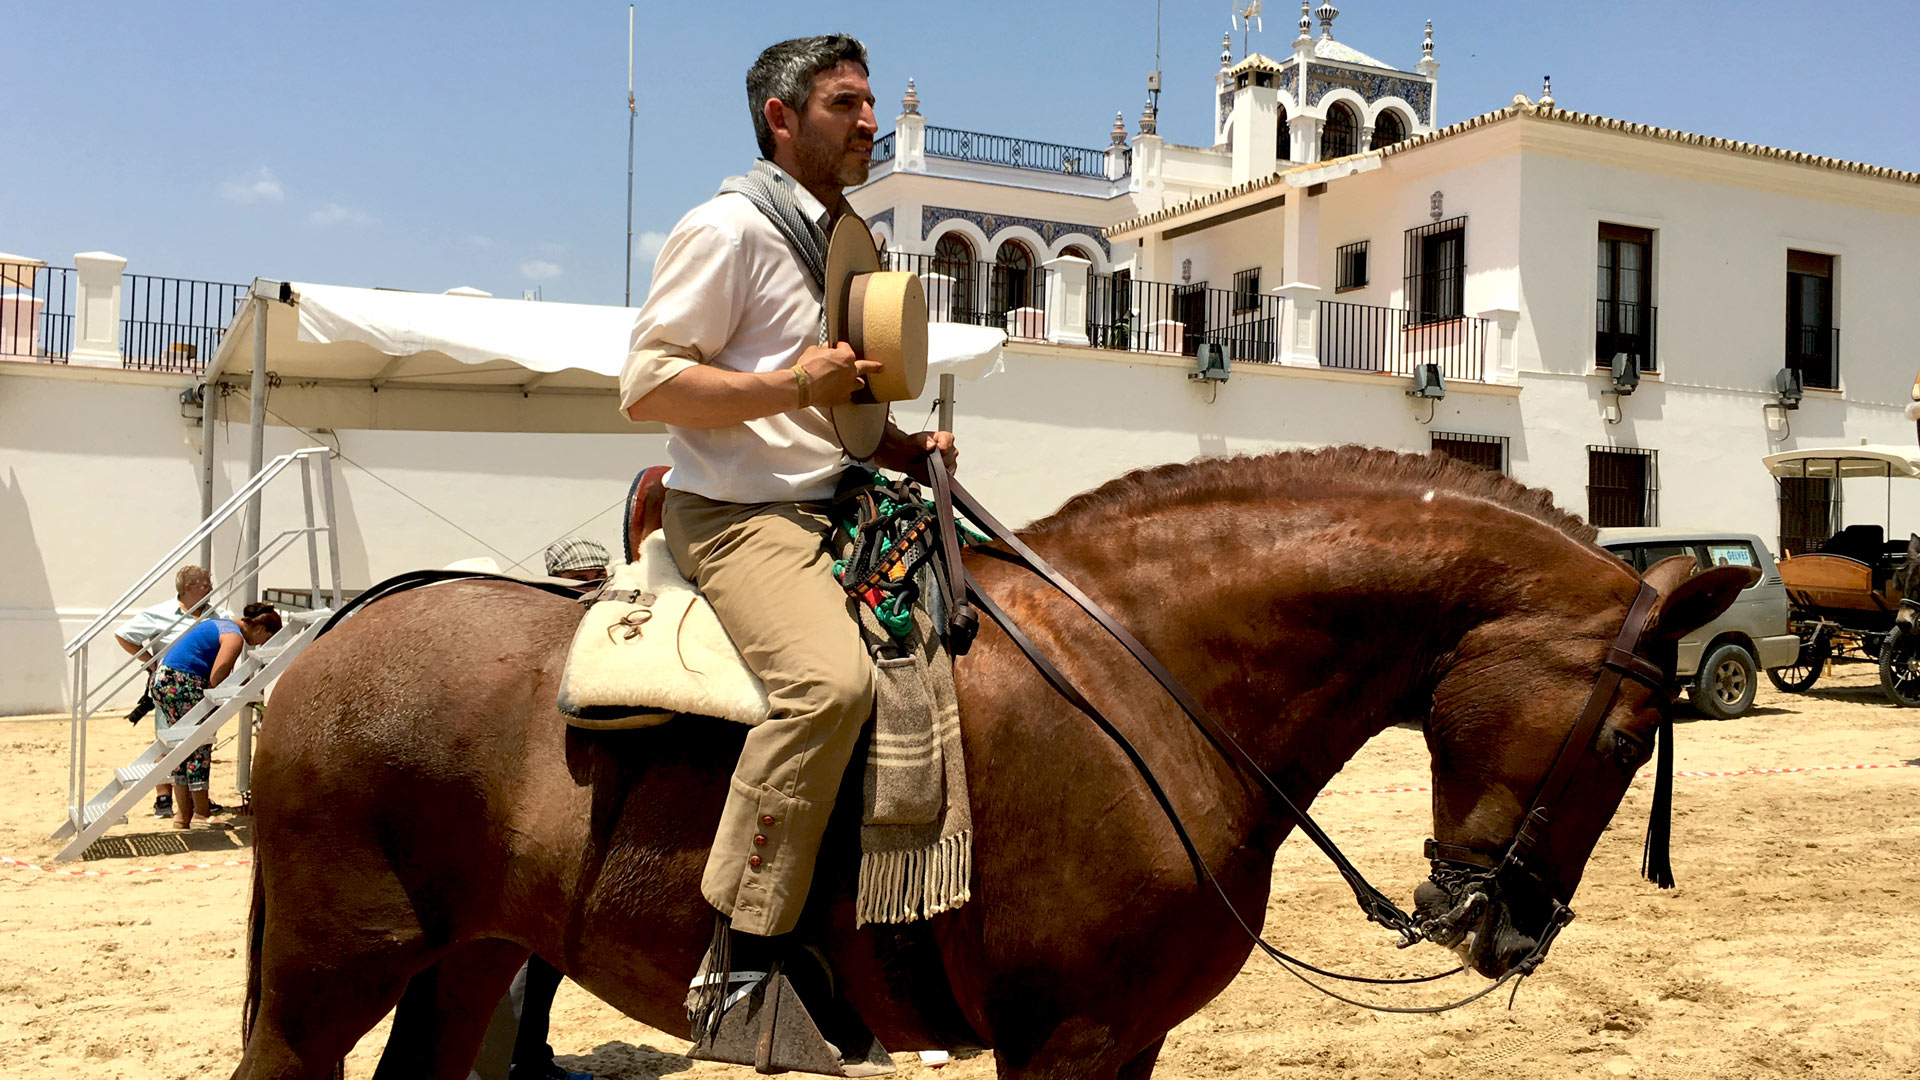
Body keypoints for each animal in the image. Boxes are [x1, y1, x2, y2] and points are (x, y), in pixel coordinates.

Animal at [228, 441, 1758, 1068]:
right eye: (1633, 732)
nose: (1509, 931)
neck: (1147, 679)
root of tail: (326, 642)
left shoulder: (1126, 1043)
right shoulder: (1062, 1039)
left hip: (467, 960)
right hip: (327, 977)